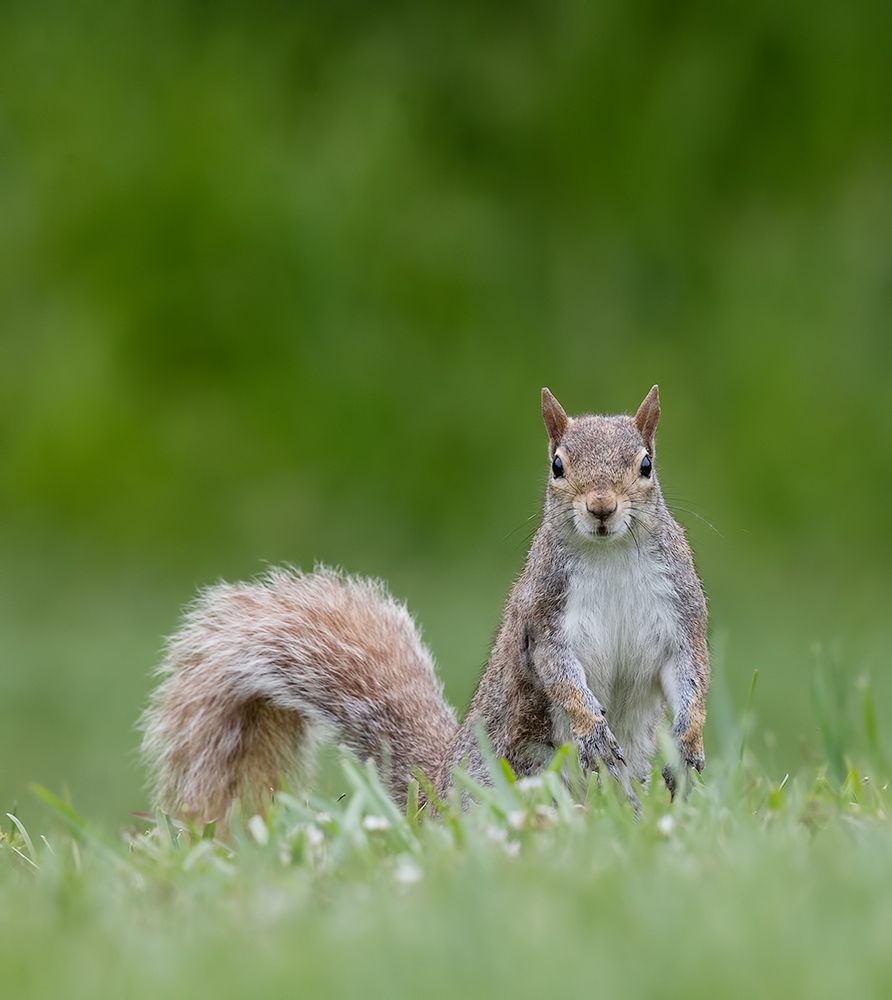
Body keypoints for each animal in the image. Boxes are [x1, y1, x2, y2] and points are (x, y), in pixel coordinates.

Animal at [141, 386, 709, 821]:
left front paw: (688, 743)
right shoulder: (544, 619)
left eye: (646, 464)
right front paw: (592, 728)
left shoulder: (683, 615)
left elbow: (691, 674)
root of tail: (435, 790)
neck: (609, 553)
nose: (601, 508)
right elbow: (562, 677)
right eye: (557, 465)